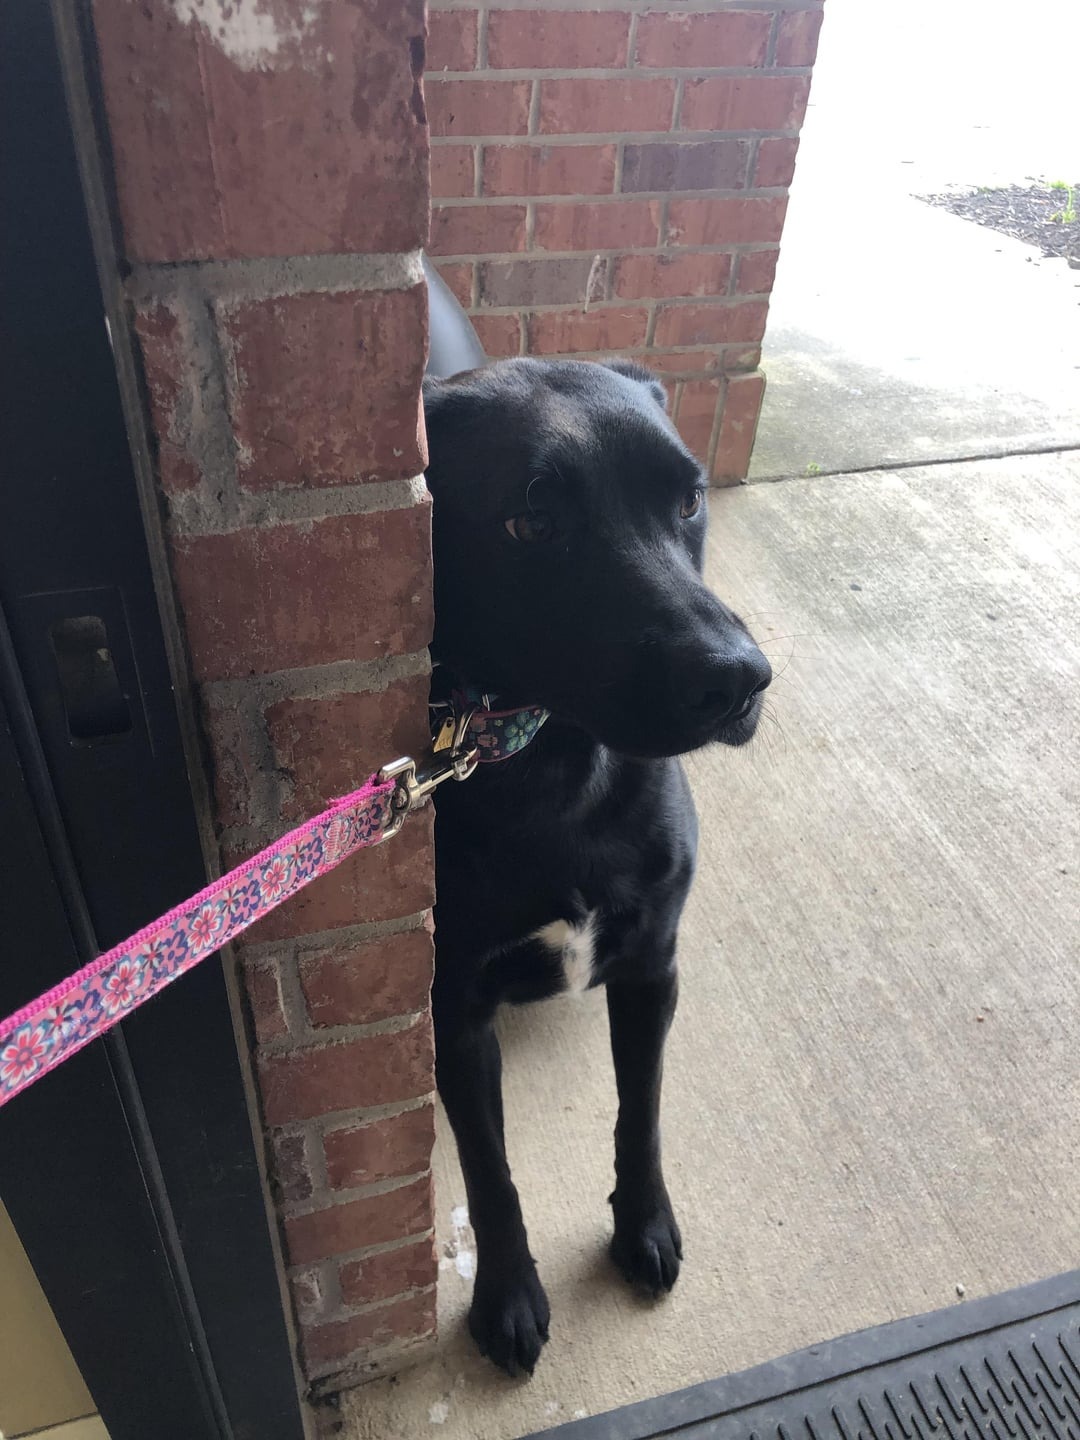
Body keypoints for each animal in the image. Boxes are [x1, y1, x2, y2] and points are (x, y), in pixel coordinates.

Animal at [420, 357, 771, 1370]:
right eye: (532, 522)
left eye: (689, 497)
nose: (739, 678)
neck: (556, 771)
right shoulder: (455, 1014)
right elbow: (490, 1172)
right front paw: (506, 1293)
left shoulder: (652, 966)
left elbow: (640, 1113)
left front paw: (643, 1224)